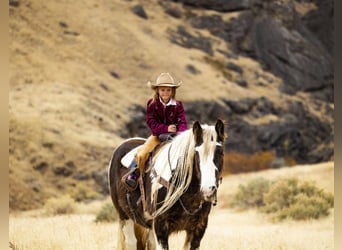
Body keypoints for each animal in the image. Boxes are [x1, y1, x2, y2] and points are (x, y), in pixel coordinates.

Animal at [108, 120, 226, 249]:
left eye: (220, 152)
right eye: (196, 153)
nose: (208, 189)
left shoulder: (198, 229)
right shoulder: (160, 228)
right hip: (125, 216)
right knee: (131, 242)